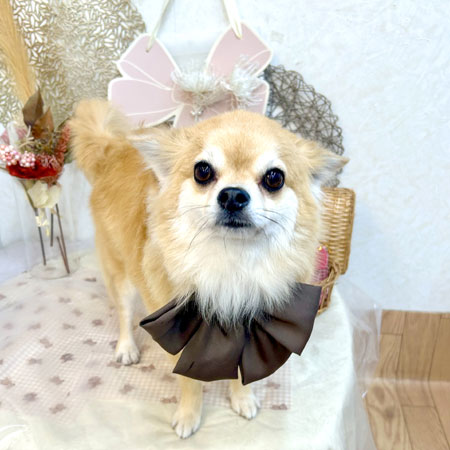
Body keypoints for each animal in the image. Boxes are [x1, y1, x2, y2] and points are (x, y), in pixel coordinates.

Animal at [70, 100, 347, 438]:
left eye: (274, 178)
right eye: (202, 171)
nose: (233, 195)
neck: (231, 262)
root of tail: (113, 149)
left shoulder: (248, 326)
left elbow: (243, 372)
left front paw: (242, 399)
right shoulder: (179, 330)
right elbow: (189, 382)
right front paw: (189, 416)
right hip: (119, 270)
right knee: (123, 312)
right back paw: (126, 348)